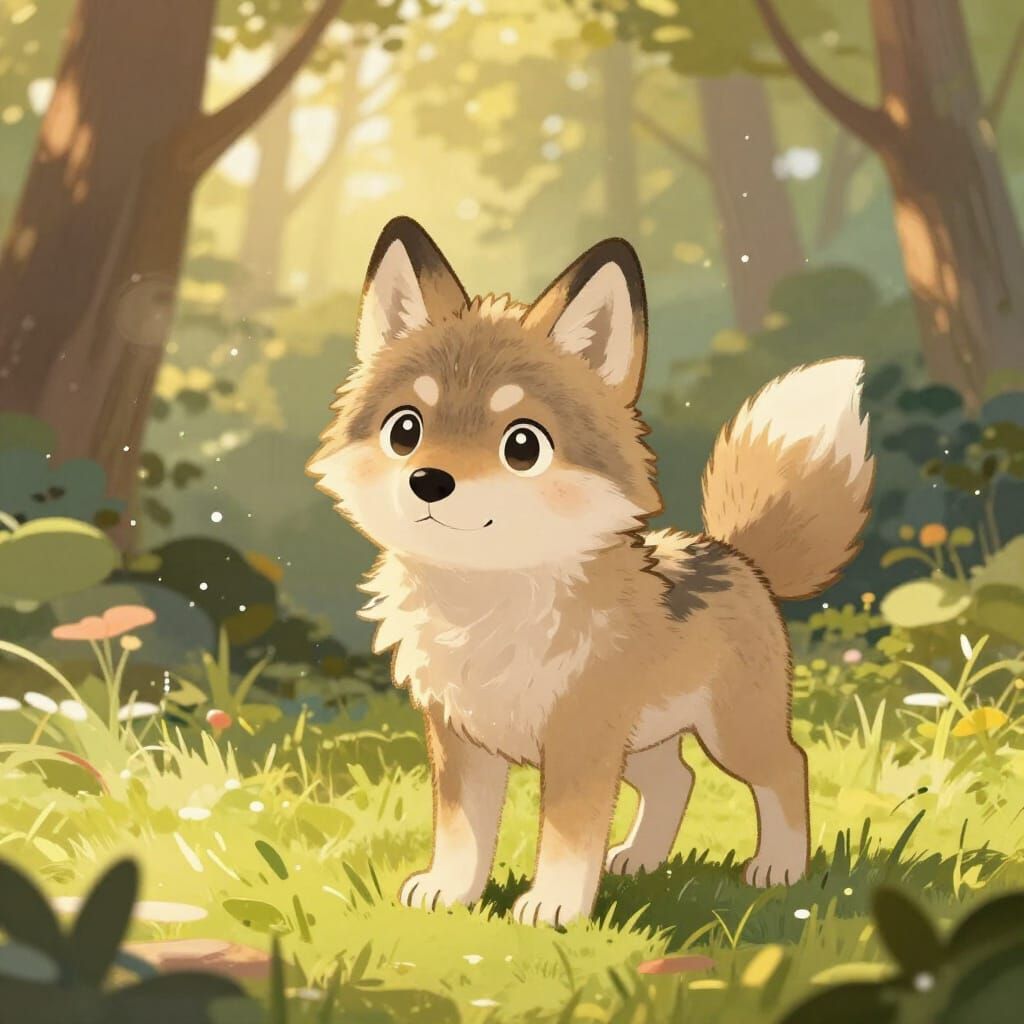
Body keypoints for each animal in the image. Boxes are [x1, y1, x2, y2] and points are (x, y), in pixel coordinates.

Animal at [308, 216, 874, 927]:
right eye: (405, 429)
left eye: (523, 445)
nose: (428, 481)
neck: (487, 604)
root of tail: (735, 554)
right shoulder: (462, 738)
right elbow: (463, 832)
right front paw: (450, 893)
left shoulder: (581, 741)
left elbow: (568, 836)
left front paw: (553, 907)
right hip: (644, 741)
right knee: (679, 780)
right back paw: (641, 859)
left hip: (727, 731)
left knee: (788, 768)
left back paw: (779, 868)